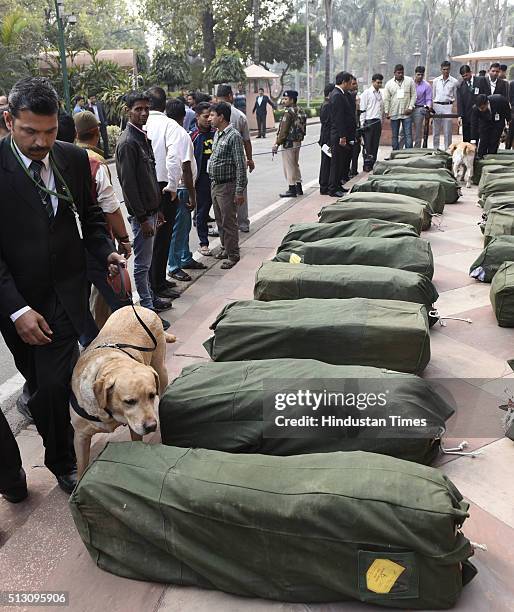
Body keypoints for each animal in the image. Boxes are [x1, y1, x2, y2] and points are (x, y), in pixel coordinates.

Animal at [70, 306, 175, 478]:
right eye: (129, 401)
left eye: (151, 396)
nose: (151, 426)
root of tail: (138, 307)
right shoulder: (80, 437)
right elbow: (81, 468)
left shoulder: (135, 428)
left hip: (160, 367)